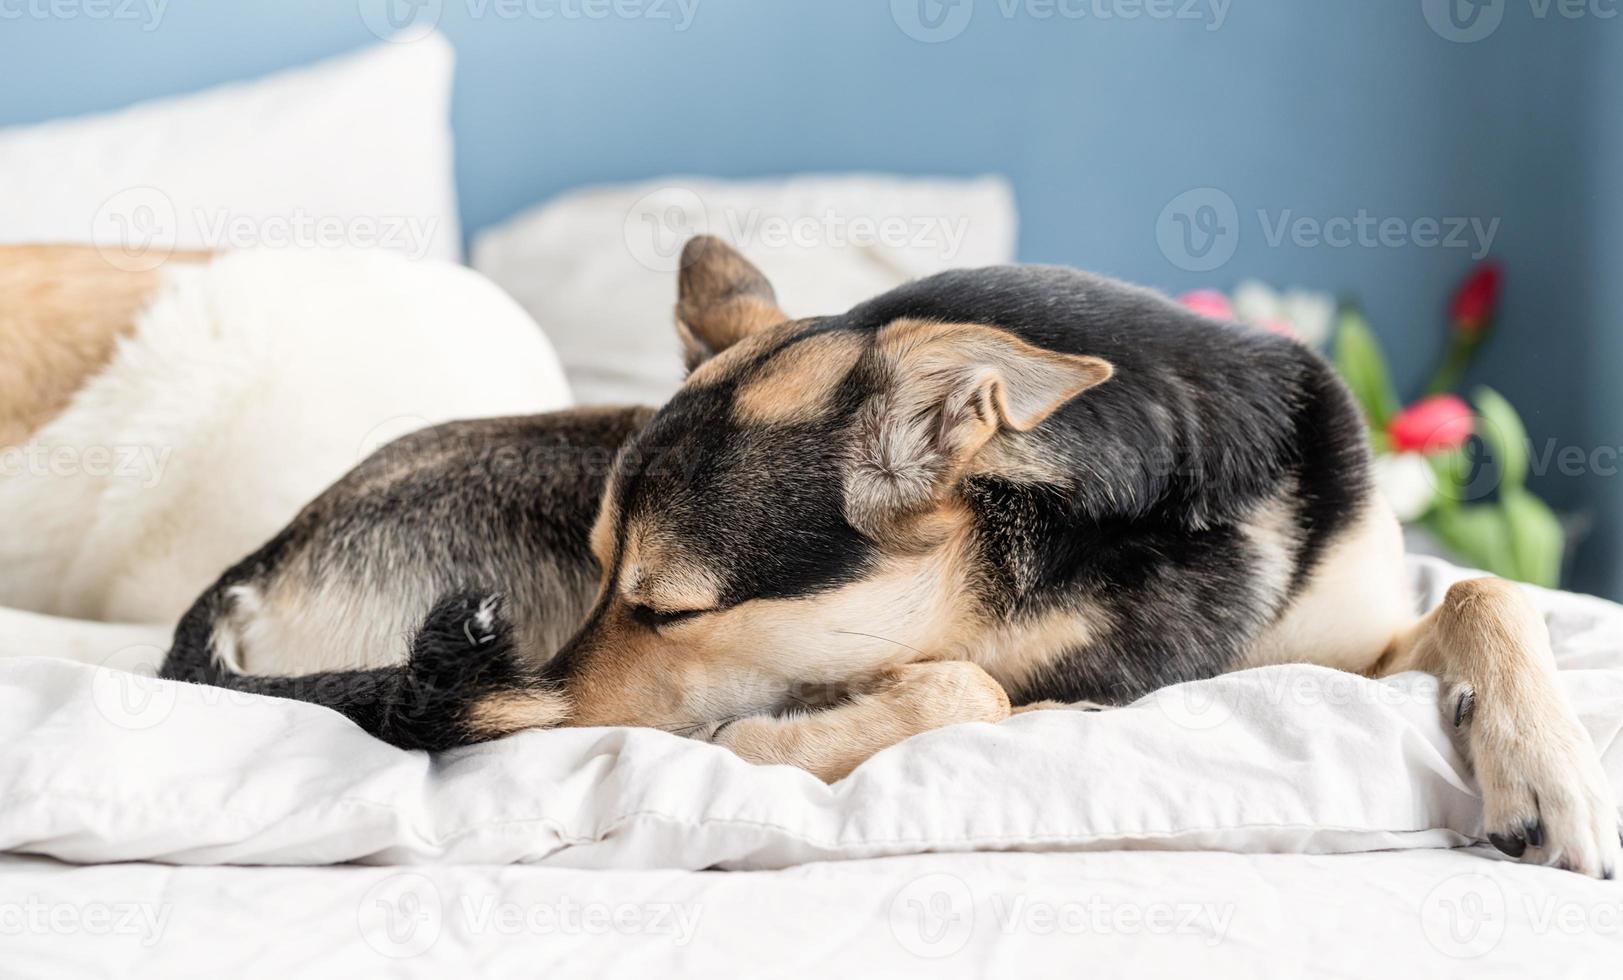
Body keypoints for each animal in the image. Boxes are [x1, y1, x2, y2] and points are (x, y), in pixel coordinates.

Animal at [142, 235, 1623, 869]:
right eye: (608, 577)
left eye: (665, 608)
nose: (541, 702)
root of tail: (250, 567)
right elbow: (963, 687)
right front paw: (777, 743)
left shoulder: (1355, 635)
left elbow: (1487, 589)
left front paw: (1551, 773)